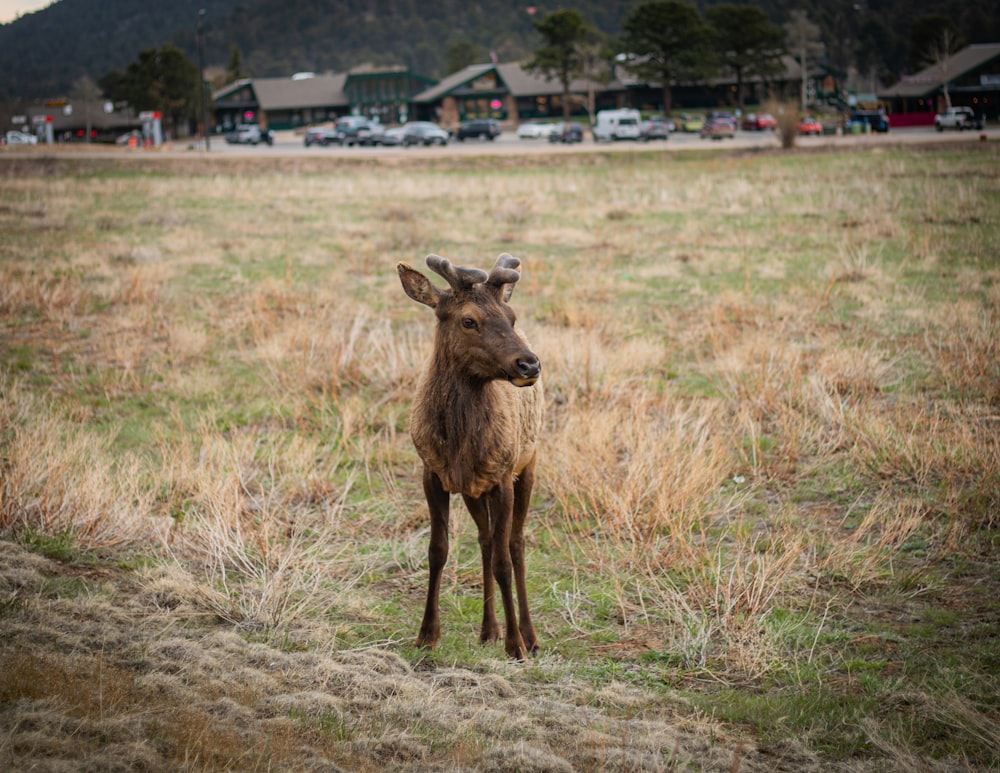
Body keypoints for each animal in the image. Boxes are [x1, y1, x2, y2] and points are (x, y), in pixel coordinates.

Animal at [394, 252, 544, 656]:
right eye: (468, 320)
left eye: (511, 317)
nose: (529, 364)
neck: (460, 444)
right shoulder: (432, 473)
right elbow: (438, 550)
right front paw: (427, 634)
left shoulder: (503, 476)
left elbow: (505, 561)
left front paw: (515, 645)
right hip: (474, 490)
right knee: (486, 540)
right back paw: (487, 629)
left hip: (529, 464)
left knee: (515, 543)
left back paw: (530, 635)